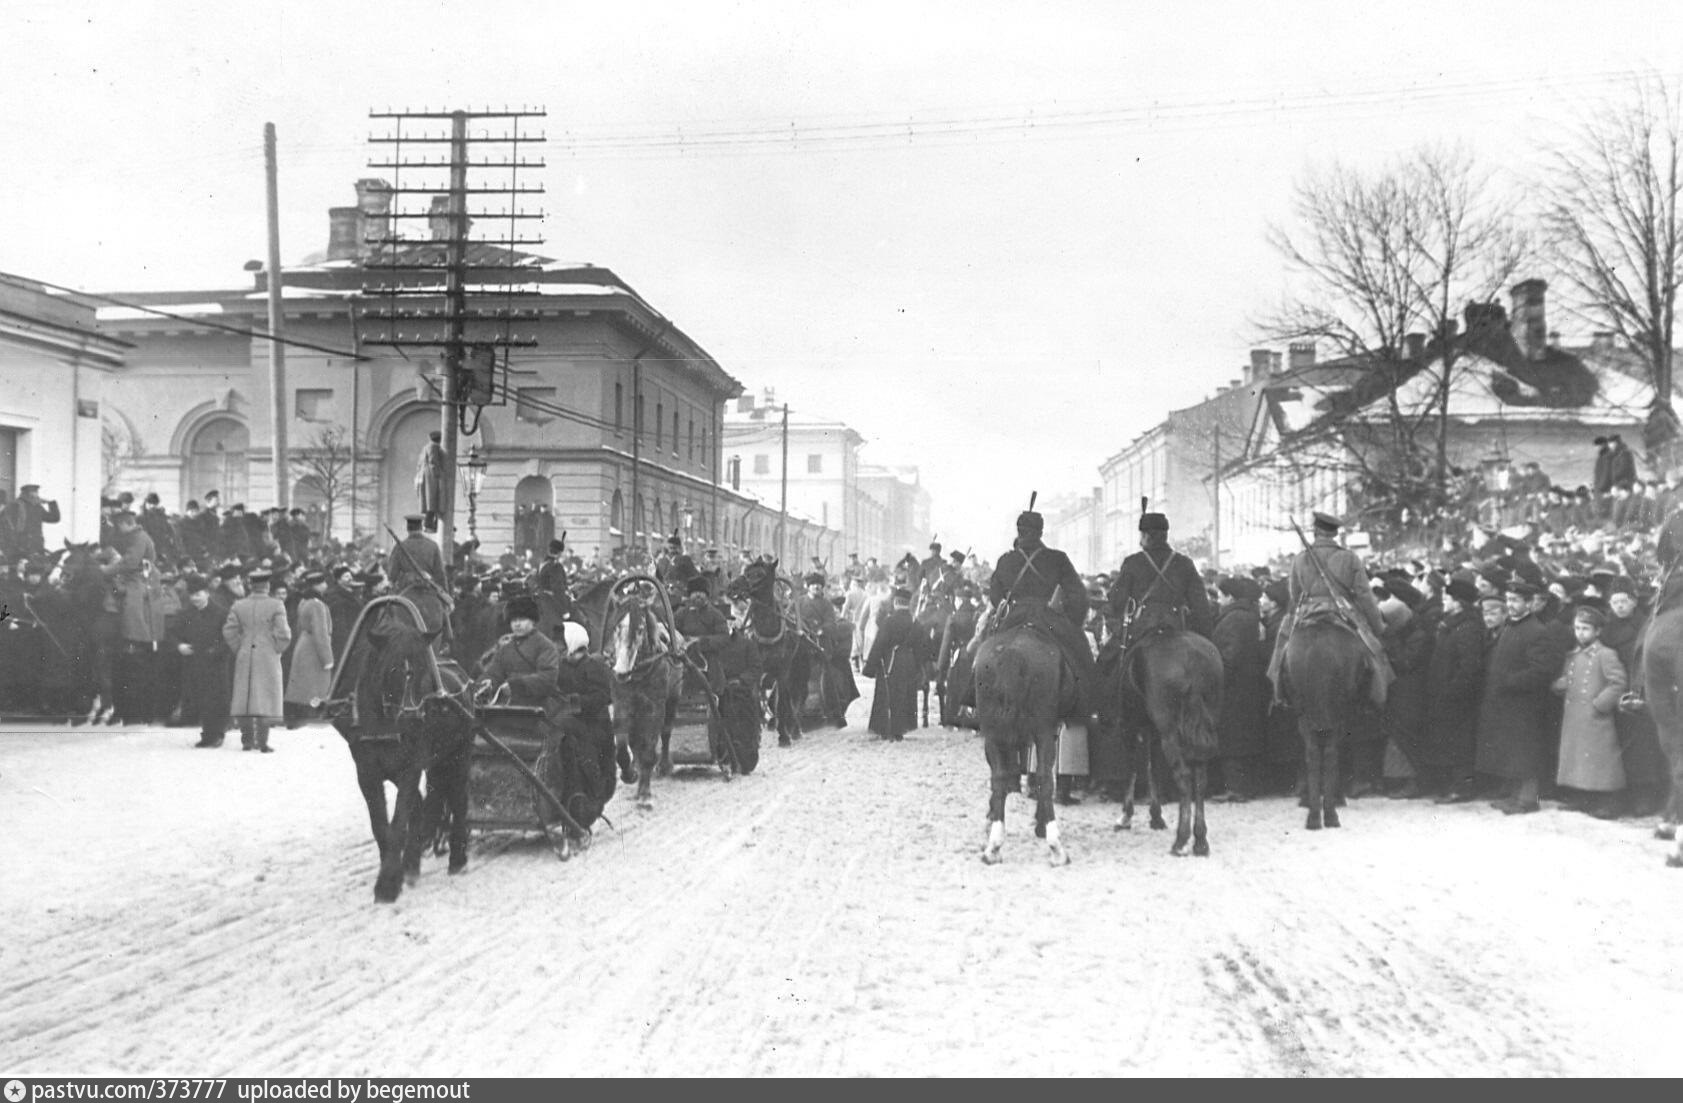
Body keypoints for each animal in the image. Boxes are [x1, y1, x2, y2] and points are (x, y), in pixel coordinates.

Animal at [326, 599, 474, 902]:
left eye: (424, 668)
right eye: (392, 668)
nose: (412, 714)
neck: (386, 721)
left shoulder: (411, 766)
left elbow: (397, 822)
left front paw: (388, 884)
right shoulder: (367, 770)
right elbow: (381, 825)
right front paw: (393, 872)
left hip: (458, 754)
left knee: (457, 798)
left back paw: (457, 858)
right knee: (422, 803)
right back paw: (412, 864)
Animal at [727, 562, 817, 751]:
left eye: (759, 574)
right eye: (746, 571)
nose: (732, 587)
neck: (767, 631)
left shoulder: (782, 670)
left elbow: (781, 701)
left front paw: (784, 736)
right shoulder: (756, 671)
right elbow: (757, 700)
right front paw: (755, 735)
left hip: (800, 667)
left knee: (799, 693)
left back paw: (795, 728)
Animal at [982, 626, 1070, 868]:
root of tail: (1013, 653)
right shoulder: (1047, 733)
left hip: (993, 735)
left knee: (999, 778)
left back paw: (993, 846)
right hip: (1043, 733)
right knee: (1045, 778)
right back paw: (1056, 848)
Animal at [1097, 633, 1218, 858]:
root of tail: (1192, 658)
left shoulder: (1129, 727)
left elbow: (1133, 769)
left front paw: (1126, 816)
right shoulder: (1153, 732)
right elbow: (1152, 769)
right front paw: (1156, 816)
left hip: (1169, 732)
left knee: (1184, 776)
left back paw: (1181, 840)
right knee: (1200, 778)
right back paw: (1200, 840)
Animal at [1279, 619, 1373, 828]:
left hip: (1305, 715)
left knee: (1312, 754)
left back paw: (1314, 814)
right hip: (1337, 716)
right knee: (1330, 754)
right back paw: (1330, 812)